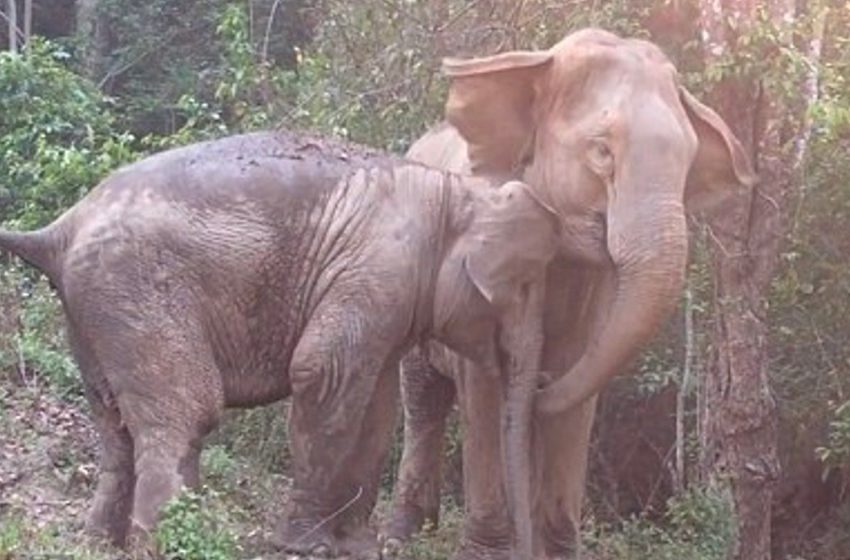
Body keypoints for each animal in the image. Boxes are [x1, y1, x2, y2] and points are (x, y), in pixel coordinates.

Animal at [0, 132, 596, 560]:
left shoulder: (390, 296)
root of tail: (59, 229)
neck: (454, 191)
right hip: (136, 289)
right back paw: (173, 542)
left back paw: (102, 542)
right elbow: (323, 374)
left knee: (114, 420)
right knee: (189, 411)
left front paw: (356, 546)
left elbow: (377, 406)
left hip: (93, 309)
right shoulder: (379, 266)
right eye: (524, 287)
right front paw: (304, 546)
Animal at [380, 27, 752, 560]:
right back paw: (400, 538)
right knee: (424, 397)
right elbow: (483, 387)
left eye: (687, 166)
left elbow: (579, 380)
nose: (537, 381)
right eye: (602, 151)